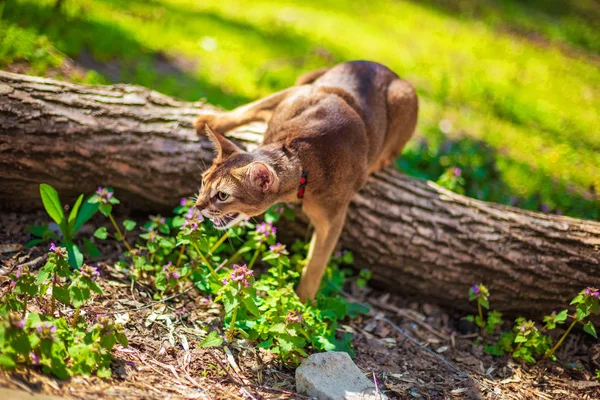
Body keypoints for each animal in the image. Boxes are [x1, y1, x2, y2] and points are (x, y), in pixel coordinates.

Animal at [193, 61, 418, 302]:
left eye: (222, 195)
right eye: (203, 182)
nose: (198, 206)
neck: (298, 154)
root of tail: (387, 70)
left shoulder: (332, 219)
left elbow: (315, 265)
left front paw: (301, 302)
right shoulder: (299, 93)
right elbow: (250, 107)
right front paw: (210, 121)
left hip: (403, 95)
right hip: (311, 76)